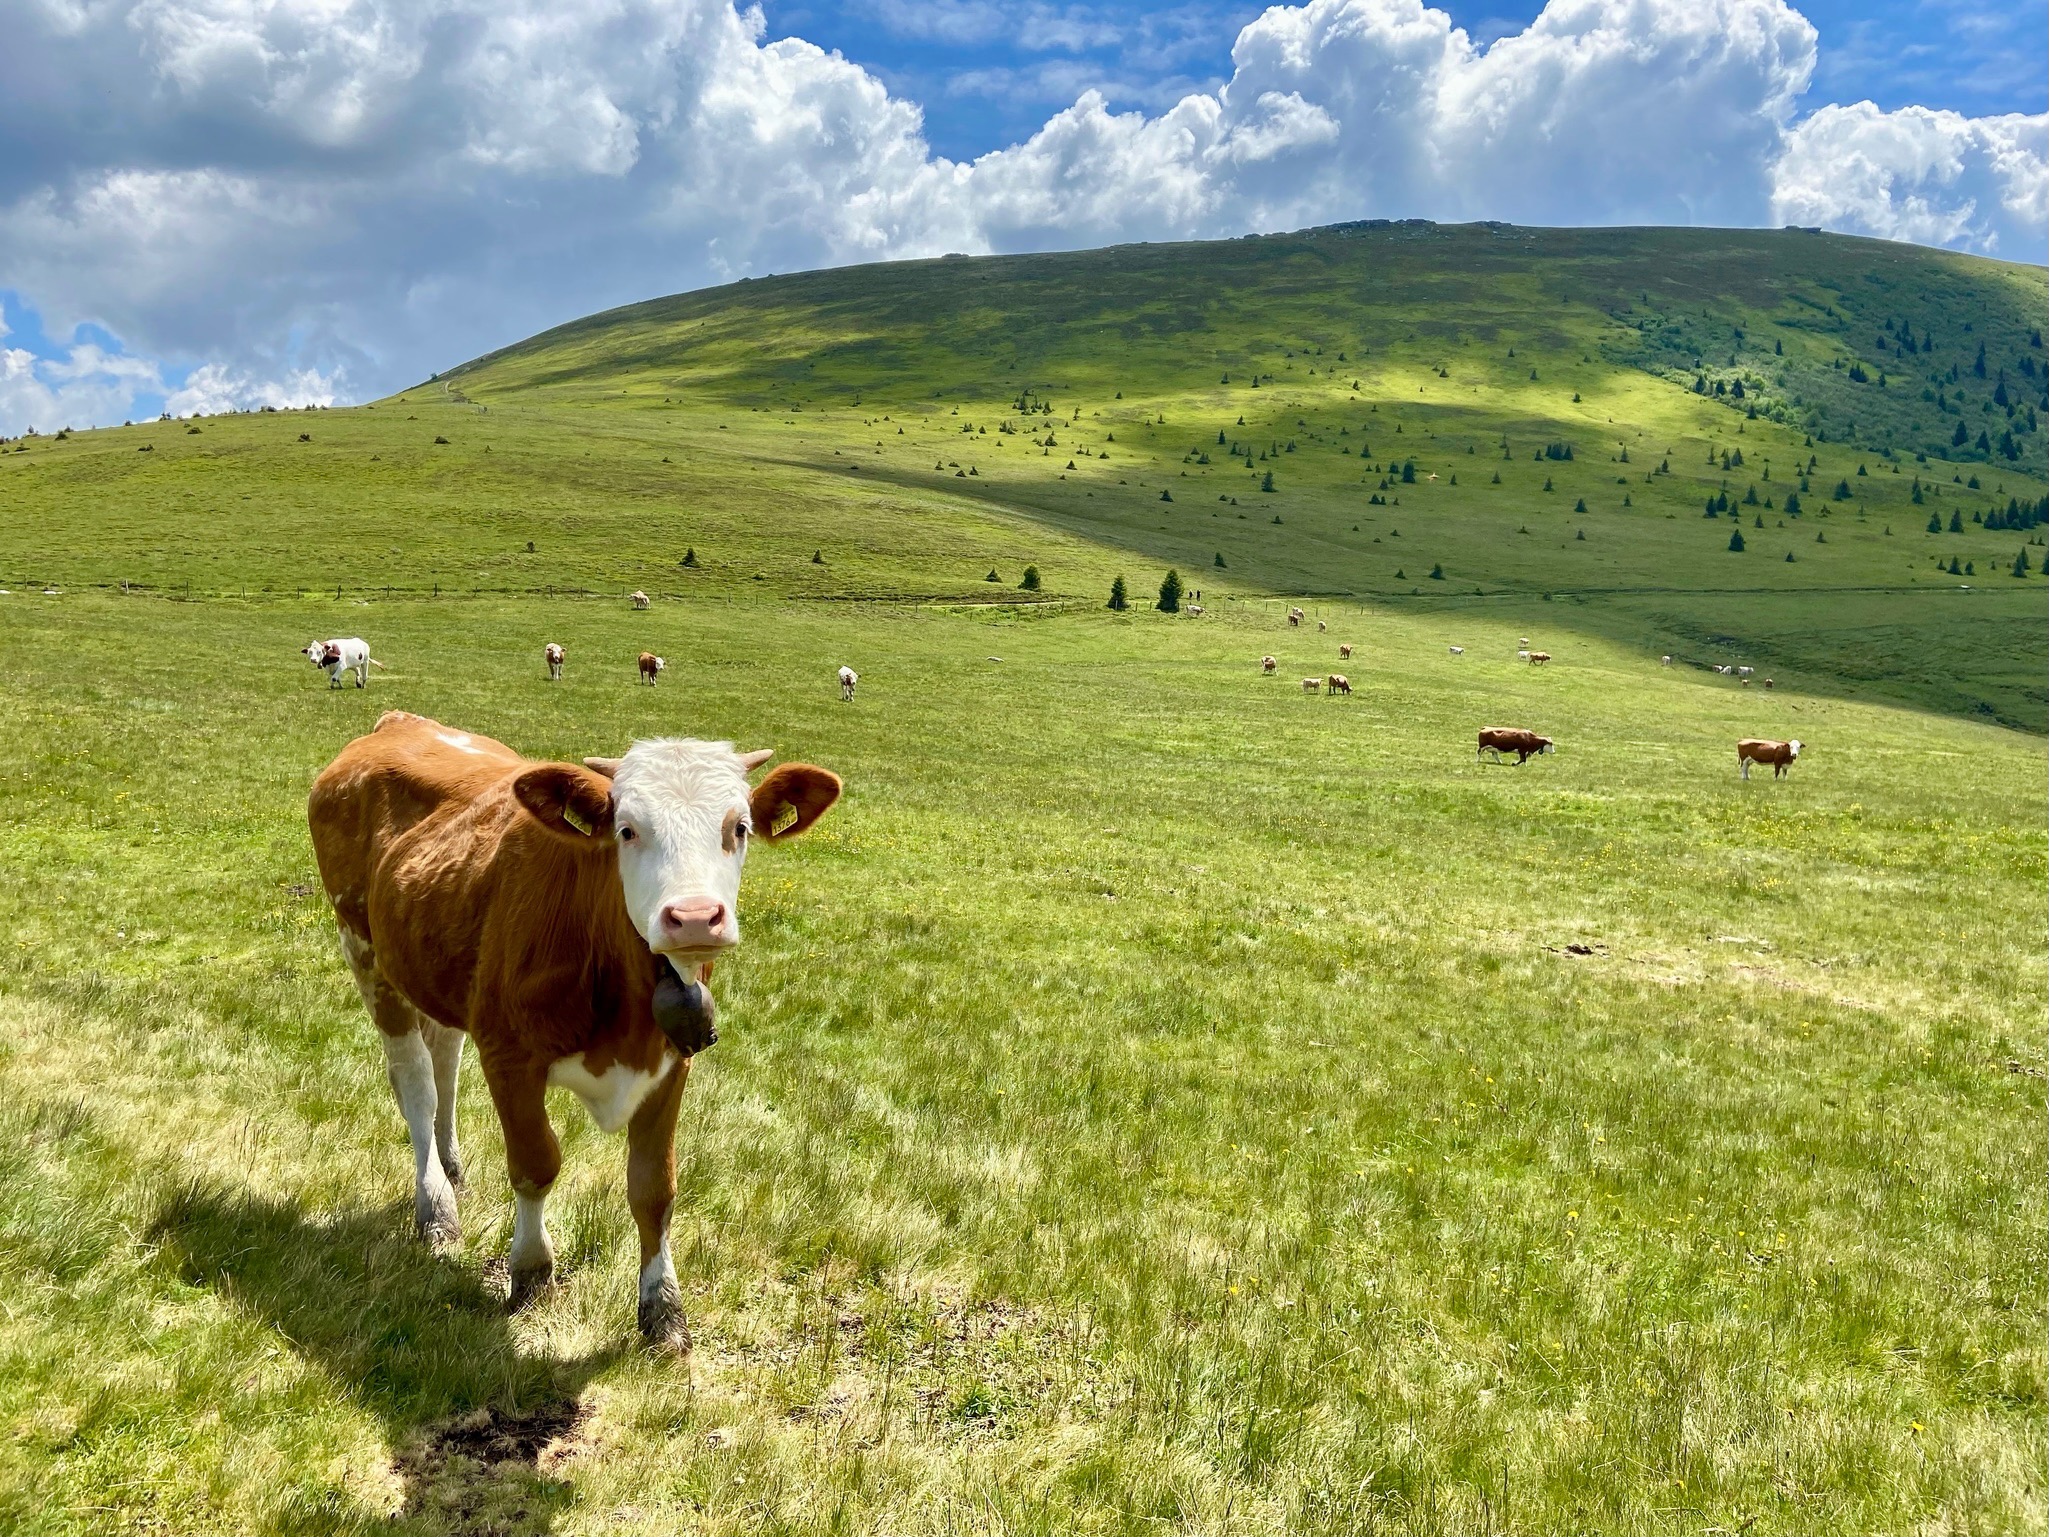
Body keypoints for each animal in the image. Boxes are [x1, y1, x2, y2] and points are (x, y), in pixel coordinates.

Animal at [307, 711, 841, 1350]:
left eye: (738, 828)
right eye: (627, 830)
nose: (693, 918)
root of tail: (398, 722)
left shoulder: (673, 1062)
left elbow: (654, 1189)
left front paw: (663, 1310)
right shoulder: (509, 1056)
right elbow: (536, 1164)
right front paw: (532, 1273)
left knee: (445, 1055)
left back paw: (452, 1169)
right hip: (362, 948)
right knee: (416, 1082)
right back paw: (436, 1208)